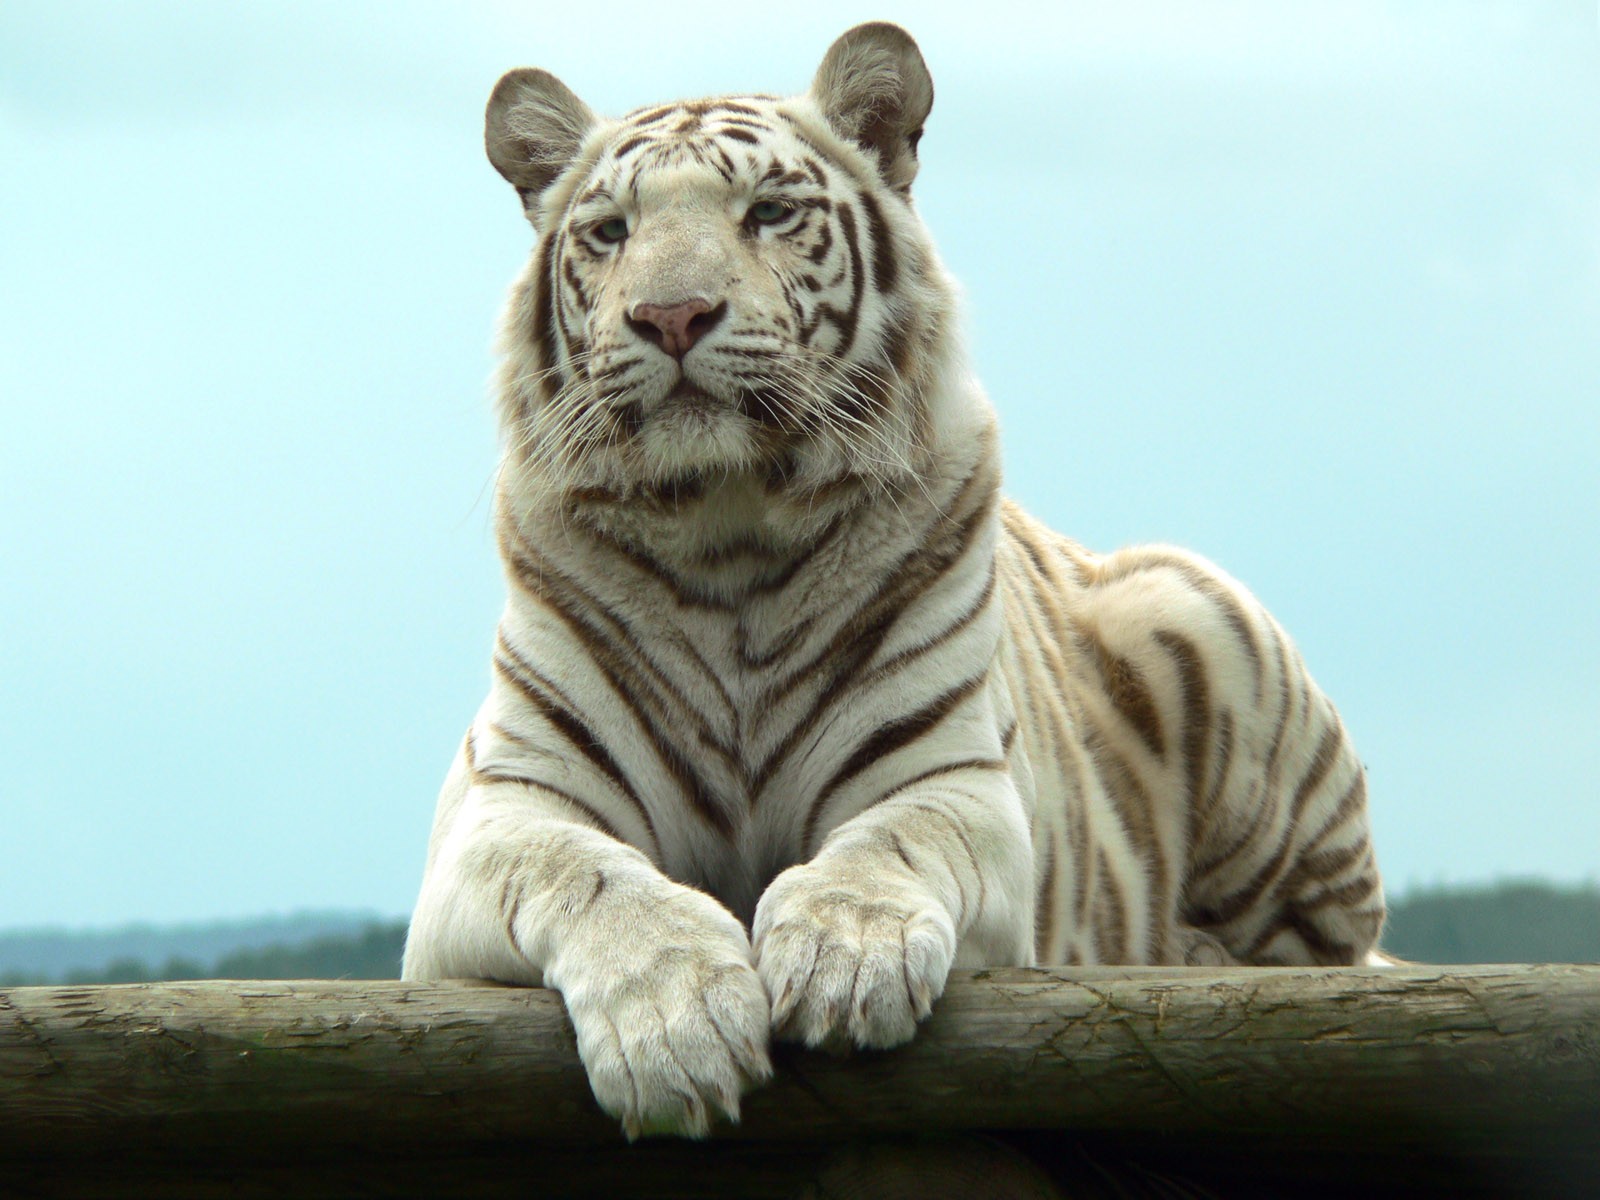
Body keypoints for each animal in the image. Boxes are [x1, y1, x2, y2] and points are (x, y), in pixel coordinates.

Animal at [401, 22, 1388, 1140]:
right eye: (610, 232)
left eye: (768, 211)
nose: (672, 314)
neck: (724, 532)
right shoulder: (507, 809)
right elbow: (593, 877)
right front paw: (675, 1025)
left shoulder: (946, 777)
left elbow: (888, 846)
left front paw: (842, 960)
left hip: (1193, 616)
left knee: (1326, 953)